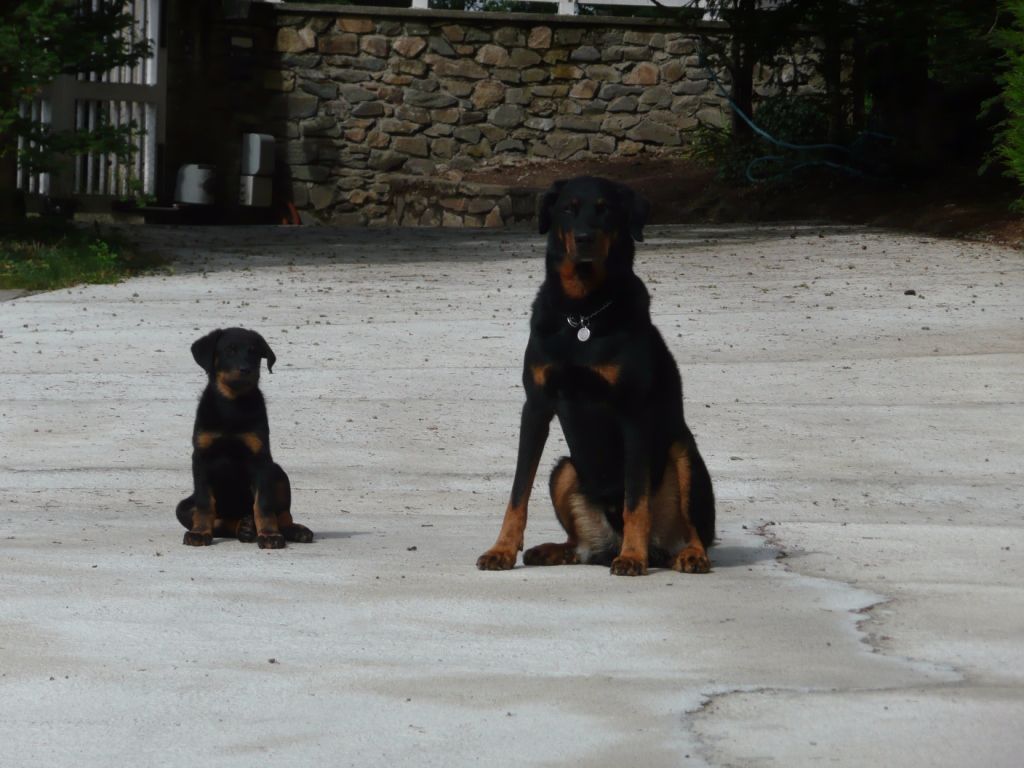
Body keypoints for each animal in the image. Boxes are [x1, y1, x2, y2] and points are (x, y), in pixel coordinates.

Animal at [175, 327, 311, 548]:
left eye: (254, 352)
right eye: (229, 351)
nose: (246, 369)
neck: (232, 404)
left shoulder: (261, 459)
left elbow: (263, 505)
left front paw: (269, 535)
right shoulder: (201, 457)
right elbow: (205, 504)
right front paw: (199, 532)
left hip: (277, 472)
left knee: (282, 514)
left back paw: (292, 530)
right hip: (184, 506)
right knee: (219, 520)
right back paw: (244, 528)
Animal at [477, 177, 712, 577]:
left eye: (605, 209)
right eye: (568, 209)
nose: (584, 238)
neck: (582, 314)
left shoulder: (634, 412)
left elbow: (636, 498)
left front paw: (632, 557)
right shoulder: (536, 406)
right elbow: (518, 490)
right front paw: (502, 550)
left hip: (684, 454)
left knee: (696, 531)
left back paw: (683, 554)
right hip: (566, 470)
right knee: (580, 544)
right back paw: (553, 551)